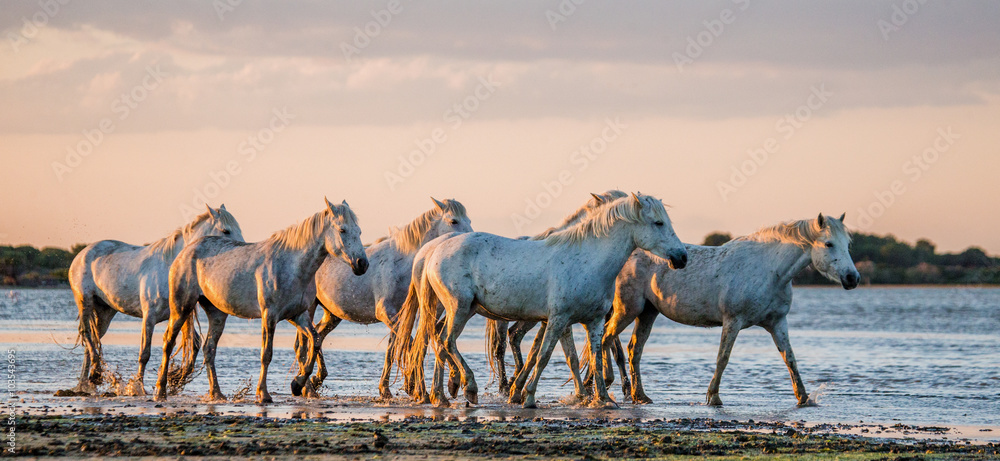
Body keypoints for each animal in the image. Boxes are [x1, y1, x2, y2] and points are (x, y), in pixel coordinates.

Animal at [67, 205, 244, 395]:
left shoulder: (179, 315)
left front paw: (175, 379)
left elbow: (193, 344)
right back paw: (93, 375)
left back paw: (88, 382)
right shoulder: (149, 317)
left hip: (105, 311)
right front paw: (139, 387)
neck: (169, 266)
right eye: (226, 231)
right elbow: (145, 353)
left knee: (92, 340)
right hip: (85, 301)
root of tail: (82, 254)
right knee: (87, 334)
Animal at [154, 198, 368, 404]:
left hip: (217, 314)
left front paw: (297, 385)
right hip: (181, 308)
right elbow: (267, 354)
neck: (292, 265)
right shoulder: (269, 315)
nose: (362, 264)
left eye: (359, 231)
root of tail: (186, 251)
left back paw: (217, 394)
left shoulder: (297, 316)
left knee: (209, 349)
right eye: (342, 230)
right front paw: (263, 394)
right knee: (168, 342)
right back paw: (160, 391)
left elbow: (314, 342)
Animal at [299, 197, 472, 399]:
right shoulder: (386, 313)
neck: (403, 264)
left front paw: (387, 389)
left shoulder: (399, 316)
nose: (468, 240)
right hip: (309, 308)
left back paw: (316, 379)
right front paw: (411, 384)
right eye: (454, 221)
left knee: (317, 336)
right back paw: (308, 387)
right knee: (305, 341)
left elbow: (395, 349)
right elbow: (409, 345)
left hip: (332, 315)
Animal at [393, 193, 689, 408]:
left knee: (438, 341)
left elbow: (590, 356)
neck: (588, 260)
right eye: (658, 223)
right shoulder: (558, 320)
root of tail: (435, 250)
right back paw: (469, 387)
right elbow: (545, 356)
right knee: (446, 341)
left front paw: (602, 399)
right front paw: (529, 398)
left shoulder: (590, 322)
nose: (682, 257)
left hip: (458, 310)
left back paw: (441, 395)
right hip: (460, 309)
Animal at [600, 213, 860, 406]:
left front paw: (803, 398)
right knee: (605, 339)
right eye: (828, 244)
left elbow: (790, 359)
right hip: (627, 310)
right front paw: (713, 397)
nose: (852, 278)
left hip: (647, 313)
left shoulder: (777, 323)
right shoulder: (733, 321)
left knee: (633, 350)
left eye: (847, 245)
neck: (769, 271)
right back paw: (604, 385)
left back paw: (640, 396)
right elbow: (722, 358)